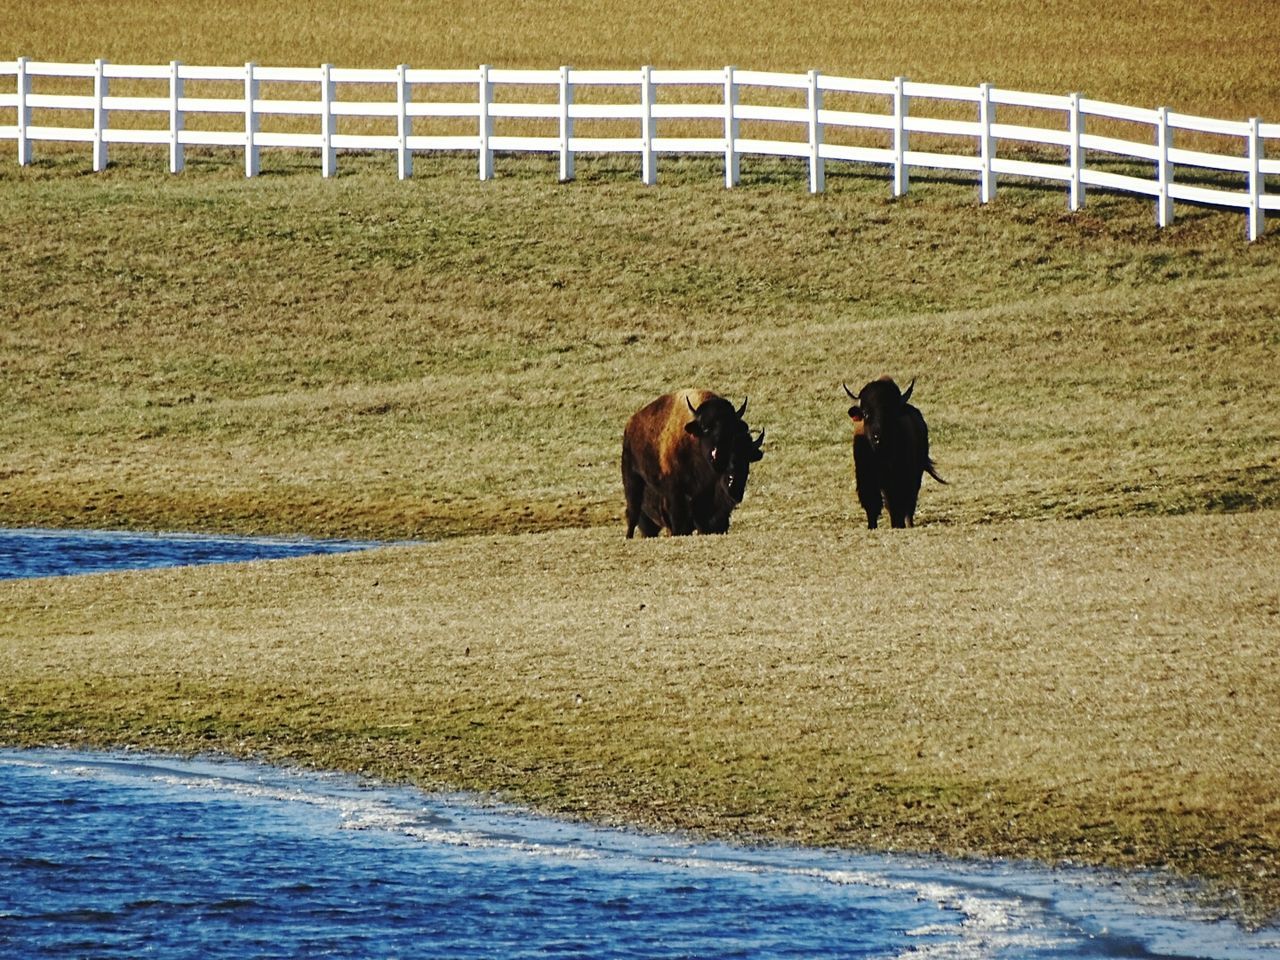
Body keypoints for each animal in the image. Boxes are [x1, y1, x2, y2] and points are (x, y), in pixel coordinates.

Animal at [622, 391, 762, 542]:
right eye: (706, 428)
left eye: (730, 429)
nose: (718, 453)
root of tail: (630, 425)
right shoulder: (676, 496)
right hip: (633, 484)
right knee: (632, 515)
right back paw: (628, 536)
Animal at [844, 376, 947, 529]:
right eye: (866, 413)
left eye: (890, 413)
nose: (878, 437)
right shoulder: (867, 478)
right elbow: (873, 503)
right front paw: (872, 526)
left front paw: (897, 525)